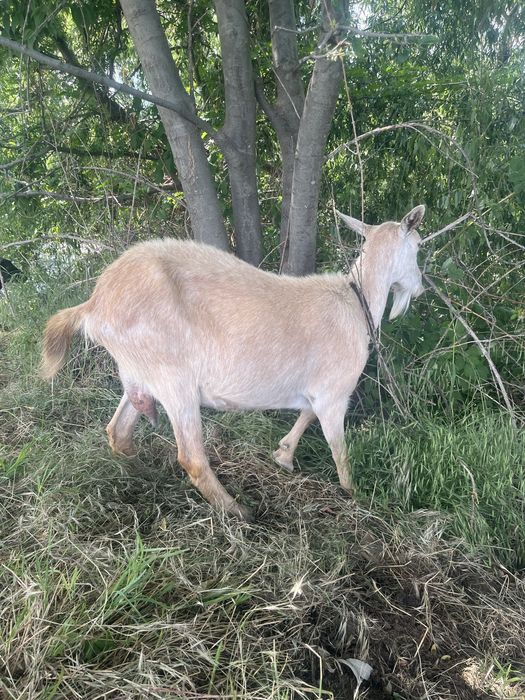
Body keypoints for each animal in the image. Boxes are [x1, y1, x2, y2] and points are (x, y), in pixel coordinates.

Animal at [41, 205, 425, 520]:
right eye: (420, 246)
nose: (420, 289)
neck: (355, 302)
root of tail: (94, 304)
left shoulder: (319, 389)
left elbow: (306, 412)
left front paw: (283, 455)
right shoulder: (334, 392)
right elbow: (338, 451)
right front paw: (355, 494)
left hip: (140, 373)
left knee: (118, 430)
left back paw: (141, 475)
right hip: (174, 378)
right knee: (192, 457)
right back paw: (238, 510)